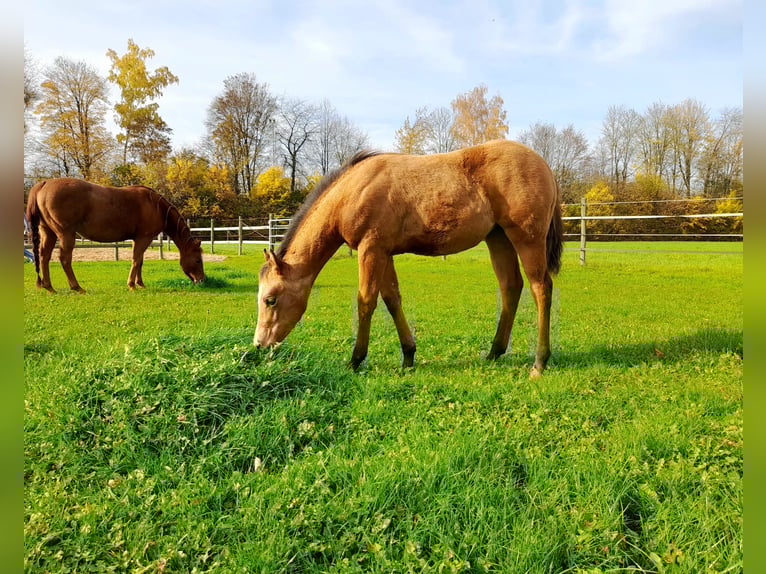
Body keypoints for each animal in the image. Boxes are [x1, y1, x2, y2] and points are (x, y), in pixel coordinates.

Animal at [25, 178, 206, 292]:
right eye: (198, 260)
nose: (202, 280)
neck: (156, 206)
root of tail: (44, 184)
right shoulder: (144, 238)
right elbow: (136, 260)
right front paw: (132, 285)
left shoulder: (137, 239)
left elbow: (140, 261)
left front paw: (140, 283)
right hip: (65, 234)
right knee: (64, 259)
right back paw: (77, 287)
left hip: (48, 233)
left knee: (43, 257)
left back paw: (49, 287)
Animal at [255, 139, 564, 378]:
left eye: (270, 300)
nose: (259, 345)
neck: (352, 192)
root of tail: (545, 165)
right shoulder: (383, 253)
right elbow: (392, 299)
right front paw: (408, 355)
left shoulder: (370, 249)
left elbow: (366, 301)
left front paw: (356, 360)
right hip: (498, 238)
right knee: (511, 286)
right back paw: (494, 352)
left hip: (527, 239)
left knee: (541, 288)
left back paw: (539, 361)